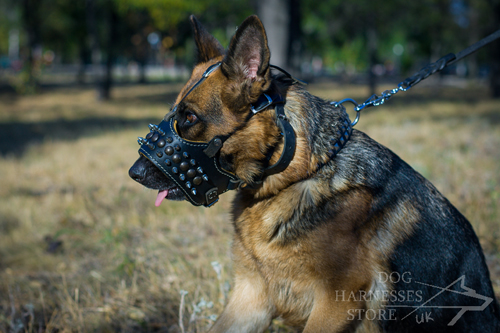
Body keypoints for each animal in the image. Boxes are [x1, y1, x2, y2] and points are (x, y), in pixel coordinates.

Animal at [130, 14, 500, 330]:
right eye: (173, 113)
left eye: (189, 118)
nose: (134, 173)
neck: (299, 173)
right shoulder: (250, 297)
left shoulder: (336, 303)